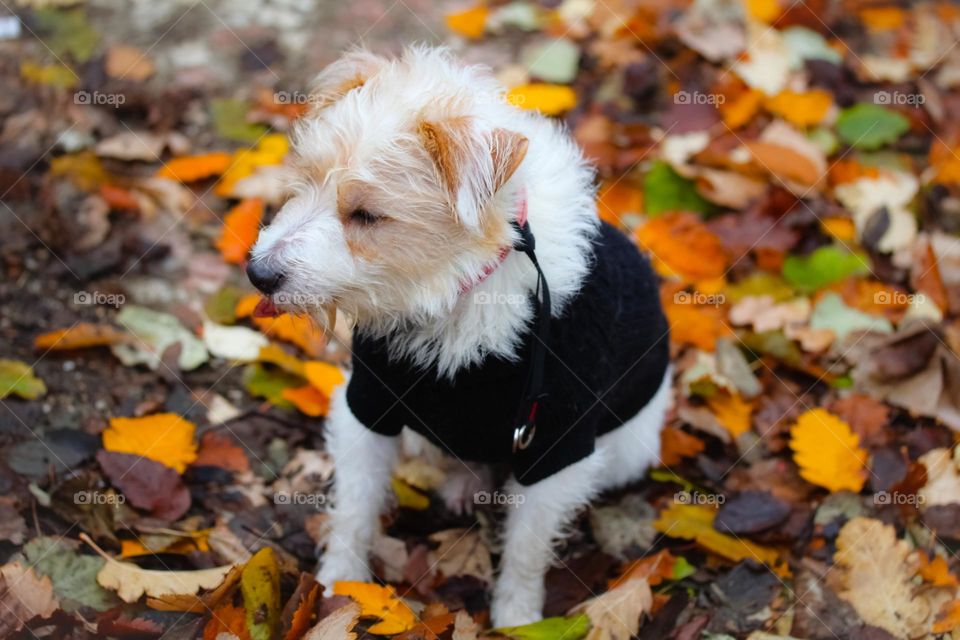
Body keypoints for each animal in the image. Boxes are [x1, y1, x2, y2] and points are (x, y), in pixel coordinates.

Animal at [244, 47, 672, 628]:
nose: (258, 274)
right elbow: (354, 510)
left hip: (624, 447)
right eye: (305, 180)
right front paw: (336, 586)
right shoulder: (367, 407)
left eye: (366, 214)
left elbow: (526, 551)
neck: (454, 291)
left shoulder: (555, 446)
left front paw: (518, 621)